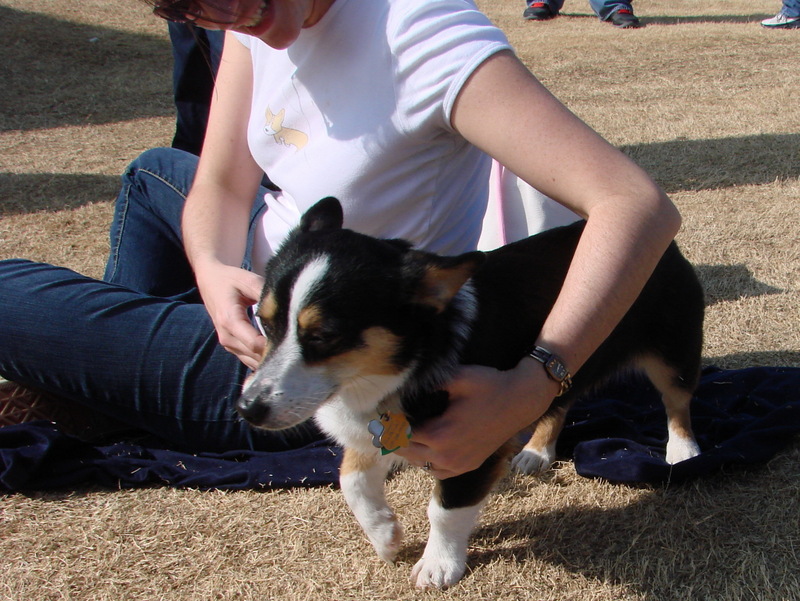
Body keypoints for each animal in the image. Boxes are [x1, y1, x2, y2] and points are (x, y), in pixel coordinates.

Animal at [234, 197, 704, 584]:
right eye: (262, 319)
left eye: (324, 336)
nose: (247, 409)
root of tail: (669, 247)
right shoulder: (375, 430)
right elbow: (351, 480)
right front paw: (385, 535)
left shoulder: (473, 444)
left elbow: (444, 509)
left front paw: (438, 565)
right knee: (560, 398)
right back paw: (536, 451)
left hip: (674, 353)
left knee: (677, 402)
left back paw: (683, 451)